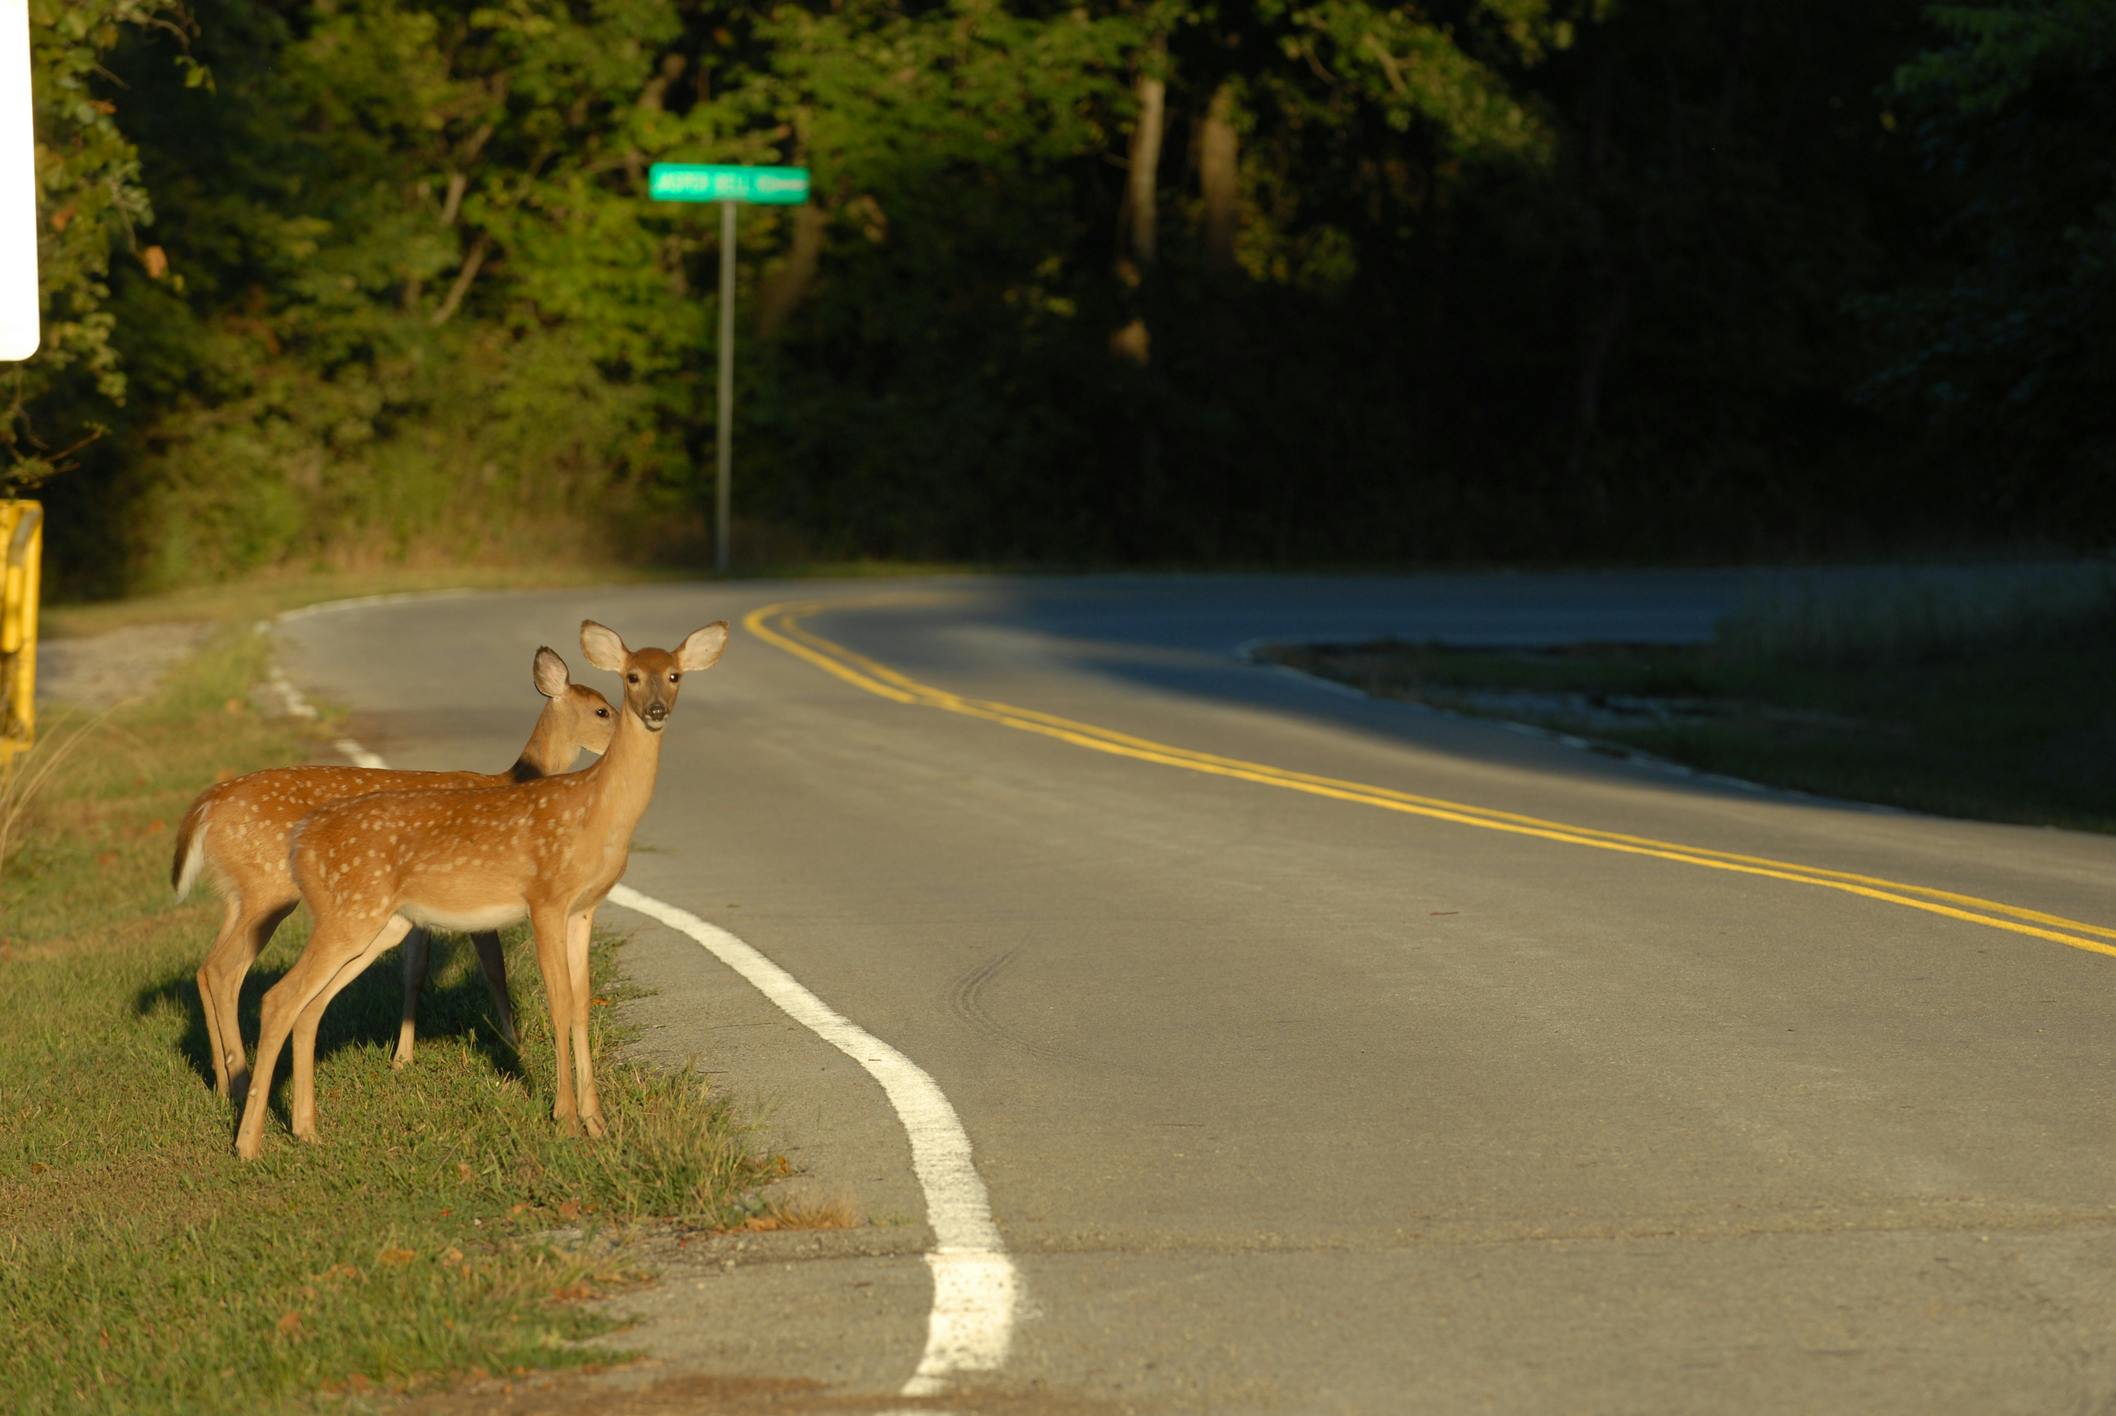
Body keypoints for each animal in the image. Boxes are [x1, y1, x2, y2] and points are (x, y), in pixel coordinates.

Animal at [173, 647, 616, 1104]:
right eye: (602, 710)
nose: (626, 734)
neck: (511, 780)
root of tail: (207, 805)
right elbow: (494, 967)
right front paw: (515, 1044)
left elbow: (415, 972)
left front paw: (402, 1057)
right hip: (269, 887)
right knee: (225, 968)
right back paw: (240, 1082)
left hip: (240, 894)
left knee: (208, 967)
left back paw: (224, 1082)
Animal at [234, 619, 728, 1159]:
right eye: (630, 679)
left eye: (675, 675)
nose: (655, 710)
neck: (594, 811)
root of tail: (301, 840)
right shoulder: (545, 899)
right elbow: (557, 1000)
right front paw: (565, 1118)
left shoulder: (584, 908)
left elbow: (581, 1004)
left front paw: (597, 1122)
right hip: (349, 911)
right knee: (278, 999)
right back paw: (248, 1144)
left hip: (381, 923)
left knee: (309, 1007)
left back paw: (307, 1130)